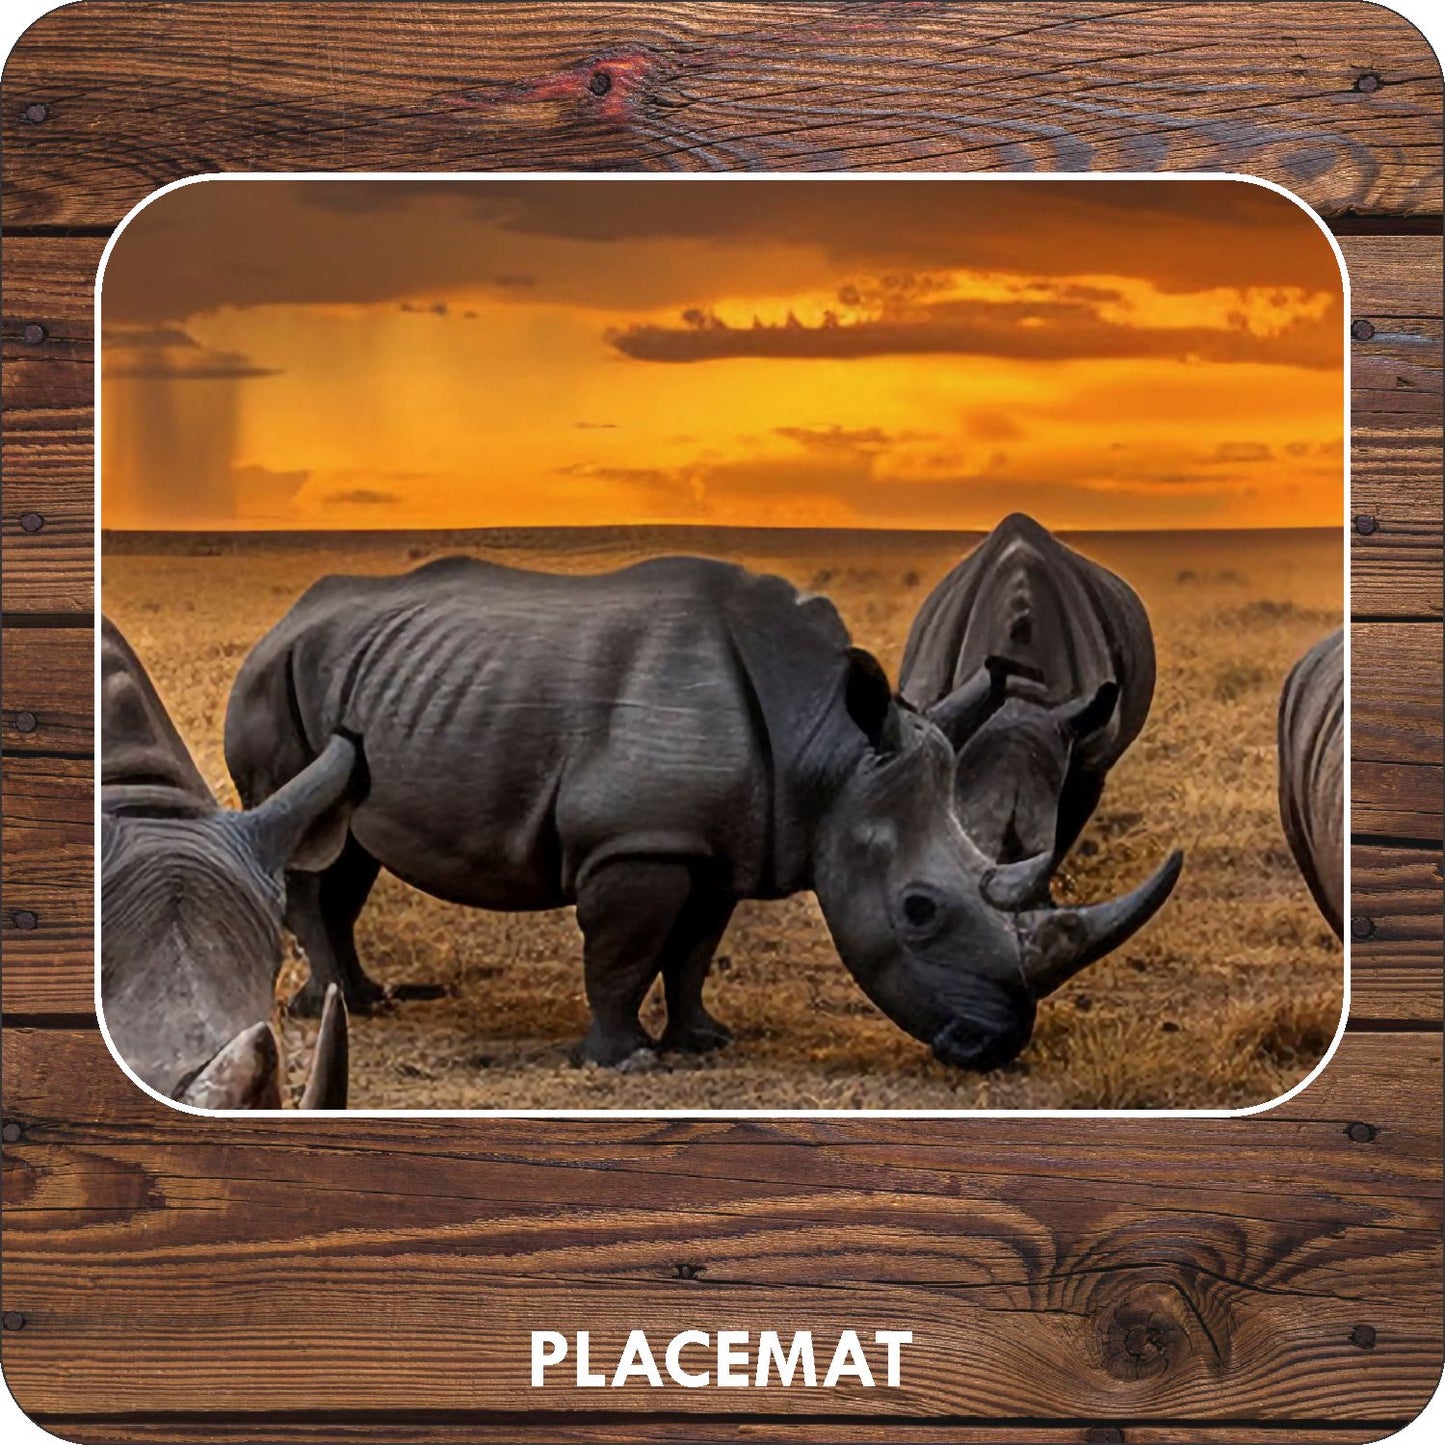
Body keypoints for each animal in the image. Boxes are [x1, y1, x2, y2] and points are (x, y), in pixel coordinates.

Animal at [225, 555, 1179, 1073]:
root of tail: (286, 616)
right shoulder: (636, 840)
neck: (827, 744)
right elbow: (622, 950)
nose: (995, 1045)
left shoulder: (721, 843)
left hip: (355, 675)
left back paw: (363, 999)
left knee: (351, 854)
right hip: (271, 676)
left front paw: (703, 1041)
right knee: (310, 851)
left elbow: (692, 949)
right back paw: (332, 1007)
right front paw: (623, 1058)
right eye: (917, 909)